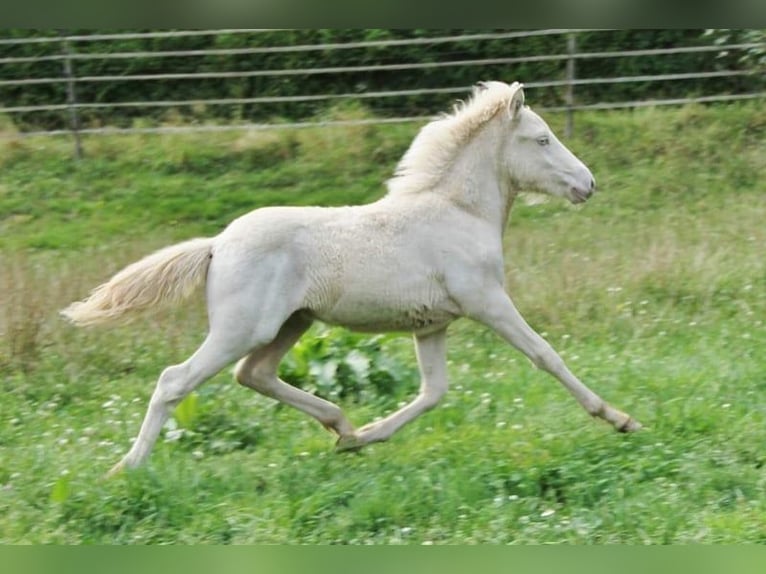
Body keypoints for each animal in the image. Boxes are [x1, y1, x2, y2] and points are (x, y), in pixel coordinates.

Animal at [62, 81, 641, 477]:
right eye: (542, 139)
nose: (588, 183)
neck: (457, 212)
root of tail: (217, 244)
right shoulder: (486, 301)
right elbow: (546, 355)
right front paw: (619, 418)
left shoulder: (433, 324)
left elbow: (434, 392)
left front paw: (364, 438)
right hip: (242, 328)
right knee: (175, 381)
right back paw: (126, 469)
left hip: (290, 324)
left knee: (255, 374)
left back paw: (342, 426)